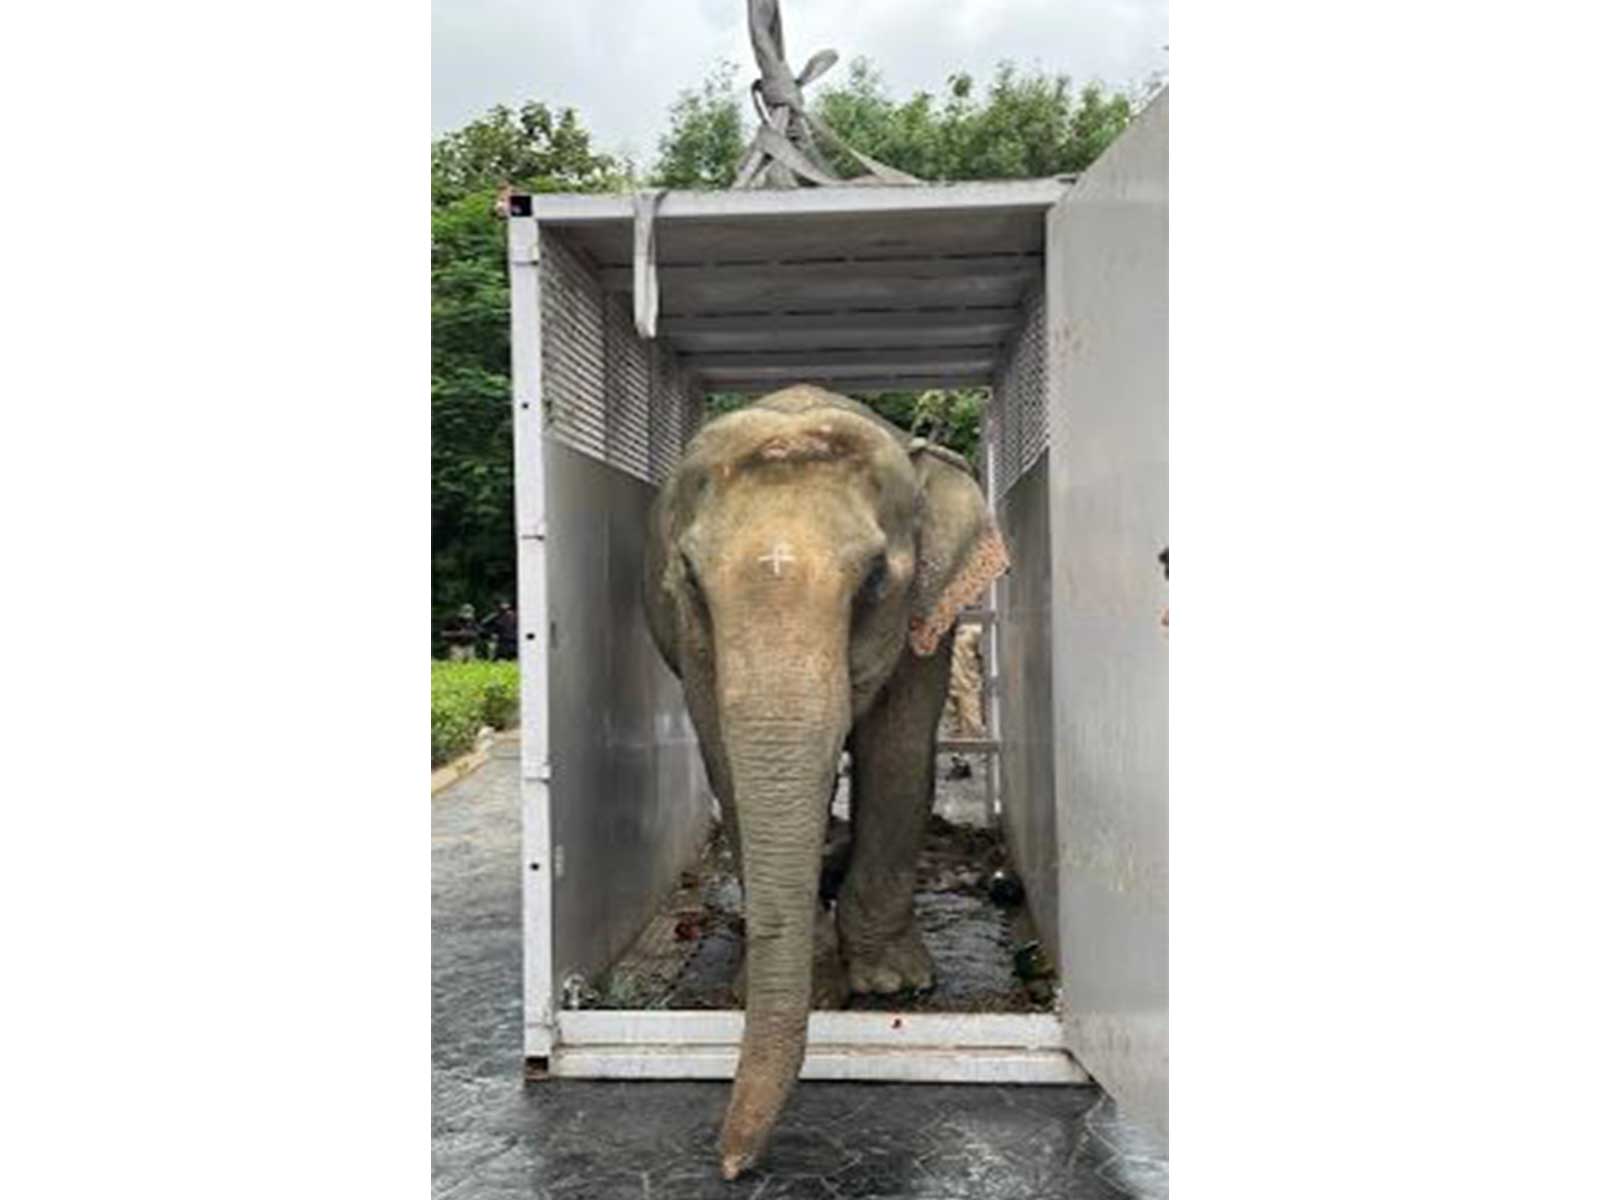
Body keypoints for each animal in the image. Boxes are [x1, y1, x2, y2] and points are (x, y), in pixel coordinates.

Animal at [642, 383, 1010, 1178]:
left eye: (874, 580)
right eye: (691, 578)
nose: (729, 1166)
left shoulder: (925, 614)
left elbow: (899, 748)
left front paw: (894, 983)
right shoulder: (692, 642)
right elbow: (725, 757)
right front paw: (813, 981)